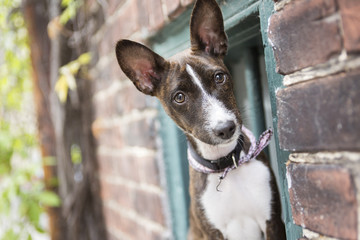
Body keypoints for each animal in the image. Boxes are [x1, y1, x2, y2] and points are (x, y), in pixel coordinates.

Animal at [115, 0, 286, 238]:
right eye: (179, 97)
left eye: (219, 77)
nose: (225, 128)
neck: (226, 166)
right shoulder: (212, 232)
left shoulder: (273, 222)